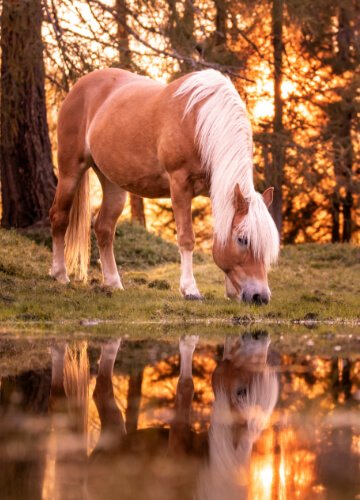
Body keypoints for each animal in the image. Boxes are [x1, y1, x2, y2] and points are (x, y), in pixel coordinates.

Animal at [50, 68, 282, 302]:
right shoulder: (180, 185)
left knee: (104, 228)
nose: (260, 296)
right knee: (59, 217)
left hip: (113, 183)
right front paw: (190, 289)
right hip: (70, 171)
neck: (199, 120)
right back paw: (60, 274)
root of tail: (80, 85)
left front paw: (231, 292)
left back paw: (113, 283)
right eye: (243, 239)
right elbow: (186, 238)